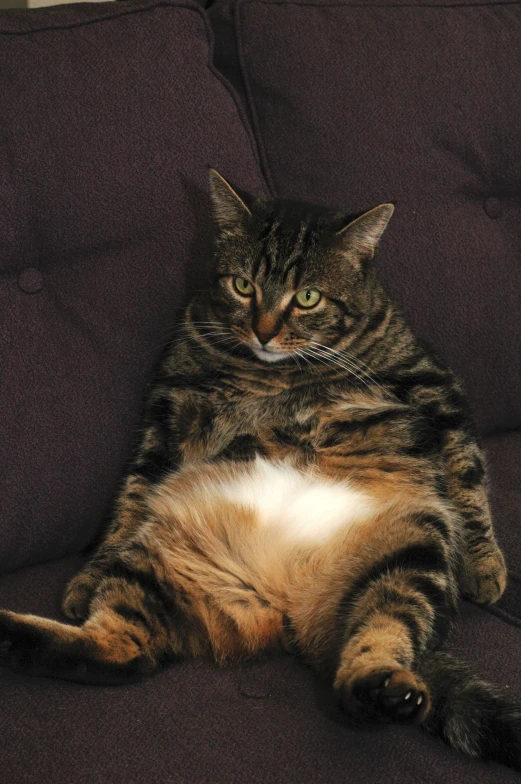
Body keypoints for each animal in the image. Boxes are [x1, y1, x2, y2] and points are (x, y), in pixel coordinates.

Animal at [1, 170, 520, 772]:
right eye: (243, 286)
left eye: (307, 297)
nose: (265, 331)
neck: (276, 372)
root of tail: (289, 604)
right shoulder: (170, 404)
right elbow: (133, 491)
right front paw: (88, 575)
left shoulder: (430, 381)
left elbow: (466, 470)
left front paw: (483, 563)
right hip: (154, 562)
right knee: (124, 651)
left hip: (412, 554)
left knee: (376, 642)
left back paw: (388, 689)